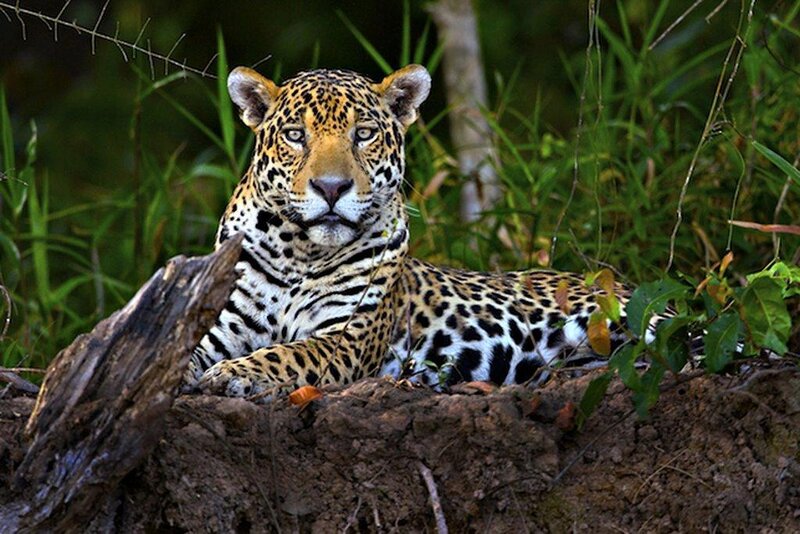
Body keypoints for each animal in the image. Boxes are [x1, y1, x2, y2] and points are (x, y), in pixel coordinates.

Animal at [188, 64, 641, 398]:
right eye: (296, 136)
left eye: (363, 134)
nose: (331, 188)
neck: (298, 252)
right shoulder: (218, 325)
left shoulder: (346, 337)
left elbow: (287, 354)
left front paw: (233, 373)